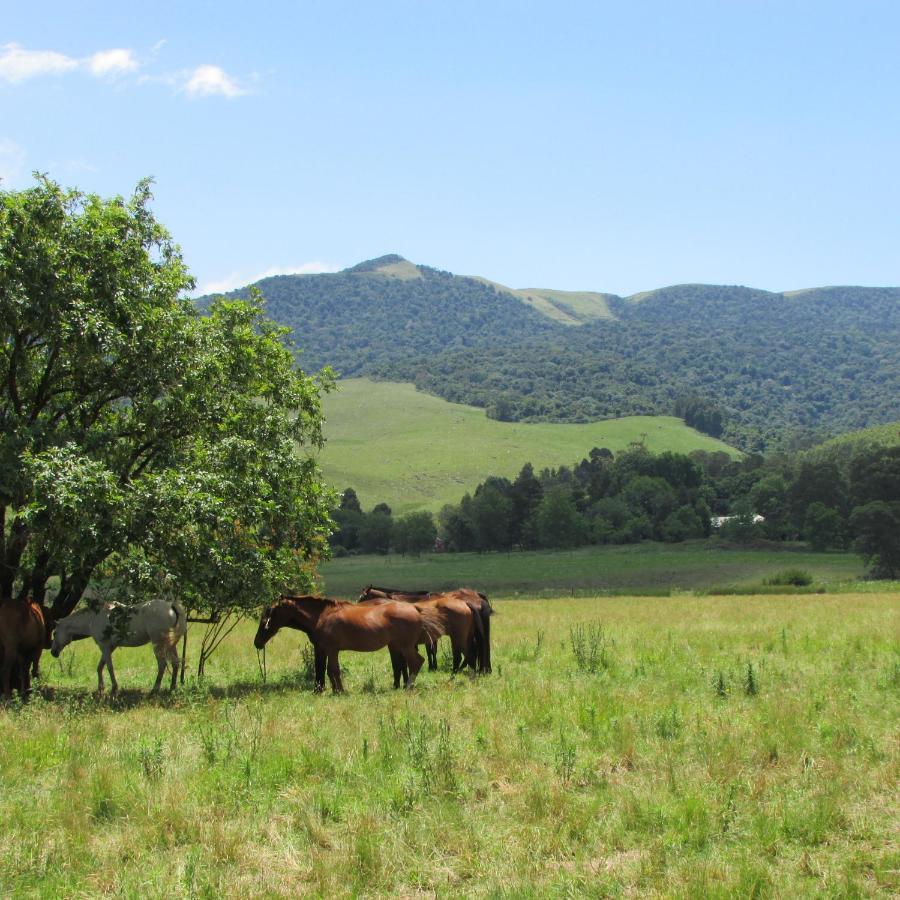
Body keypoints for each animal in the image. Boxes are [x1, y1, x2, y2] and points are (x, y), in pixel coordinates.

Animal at [50, 596, 187, 696]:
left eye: (55, 633)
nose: (53, 652)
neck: (93, 618)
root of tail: (170, 605)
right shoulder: (110, 647)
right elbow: (100, 667)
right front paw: (100, 688)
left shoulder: (104, 647)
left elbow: (109, 667)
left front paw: (114, 688)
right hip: (171, 645)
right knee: (175, 663)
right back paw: (172, 688)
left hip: (158, 645)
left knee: (162, 664)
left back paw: (155, 690)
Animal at [253, 596, 442, 692]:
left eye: (266, 619)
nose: (257, 643)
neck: (322, 616)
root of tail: (414, 608)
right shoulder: (326, 650)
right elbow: (328, 671)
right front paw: (335, 690)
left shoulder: (331, 649)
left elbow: (333, 670)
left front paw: (340, 691)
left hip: (405, 646)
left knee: (416, 662)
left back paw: (408, 687)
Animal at [362, 588, 496, 672]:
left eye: (362, 597)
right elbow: (431, 650)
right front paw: (432, 666)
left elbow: (430, 651)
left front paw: (432, 667)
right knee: (481, 647)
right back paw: (484, 669)